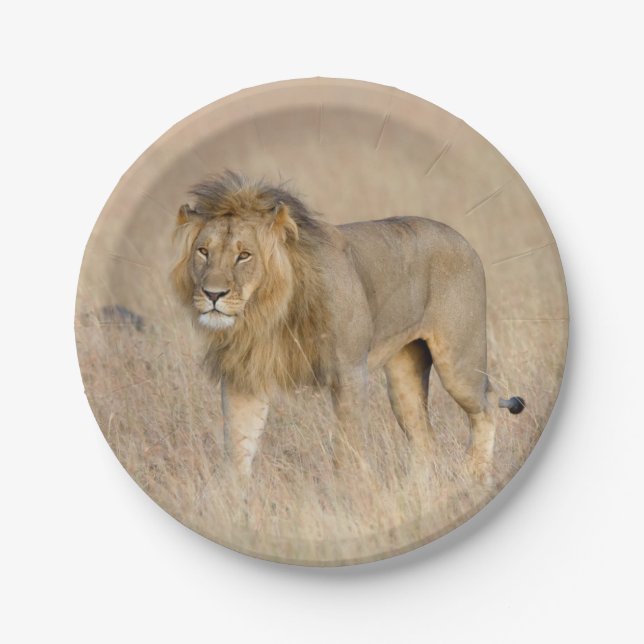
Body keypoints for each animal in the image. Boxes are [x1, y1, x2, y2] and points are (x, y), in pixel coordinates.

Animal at [171, 171, 524, 481]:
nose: (212, 294)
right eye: (203, 251)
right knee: (425, 440)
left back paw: (474, 475)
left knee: (487, 404)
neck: (267, 312)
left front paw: (355, 494)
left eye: (244, 255)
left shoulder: (350, 370)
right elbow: (238, 448)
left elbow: (348, 448)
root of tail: (461, 238)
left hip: (459, 363)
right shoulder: (244, 375)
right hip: (404, 377)